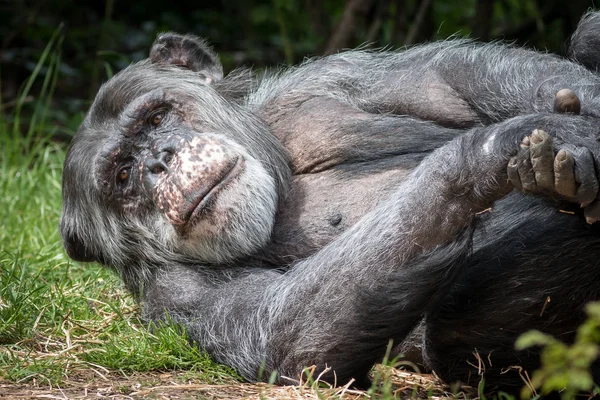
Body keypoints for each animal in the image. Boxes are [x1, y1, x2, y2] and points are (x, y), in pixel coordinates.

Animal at [61, 10, 600, 396]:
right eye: (123, 175)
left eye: (155, 118)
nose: (160, 161)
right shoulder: (174, 295)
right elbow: (284, 333)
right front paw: (495, 148)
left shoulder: (332, 78)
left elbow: (466, 75)